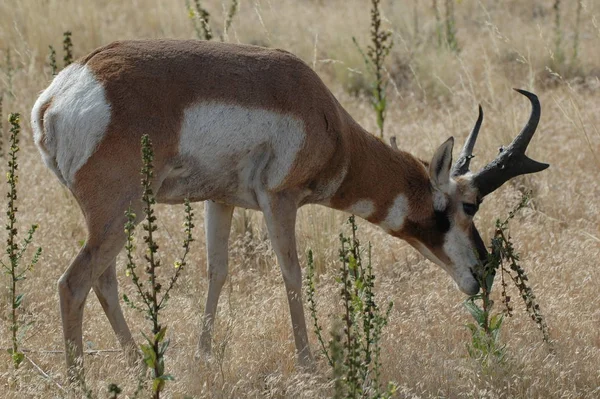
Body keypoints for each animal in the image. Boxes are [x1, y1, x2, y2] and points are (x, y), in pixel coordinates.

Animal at [31, 40, 548, 372]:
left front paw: (203, 356)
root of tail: (61, 94)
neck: (323, 113)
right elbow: (293, 274)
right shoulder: (280, 201)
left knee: (103, 282)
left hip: (116, 220)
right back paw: (81, 379)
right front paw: (308, 363)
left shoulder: (220, 202)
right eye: (468, 206)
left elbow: (217, 271)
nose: (483, 273)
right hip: (123, 214)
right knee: (74, 283)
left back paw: (141, 365)